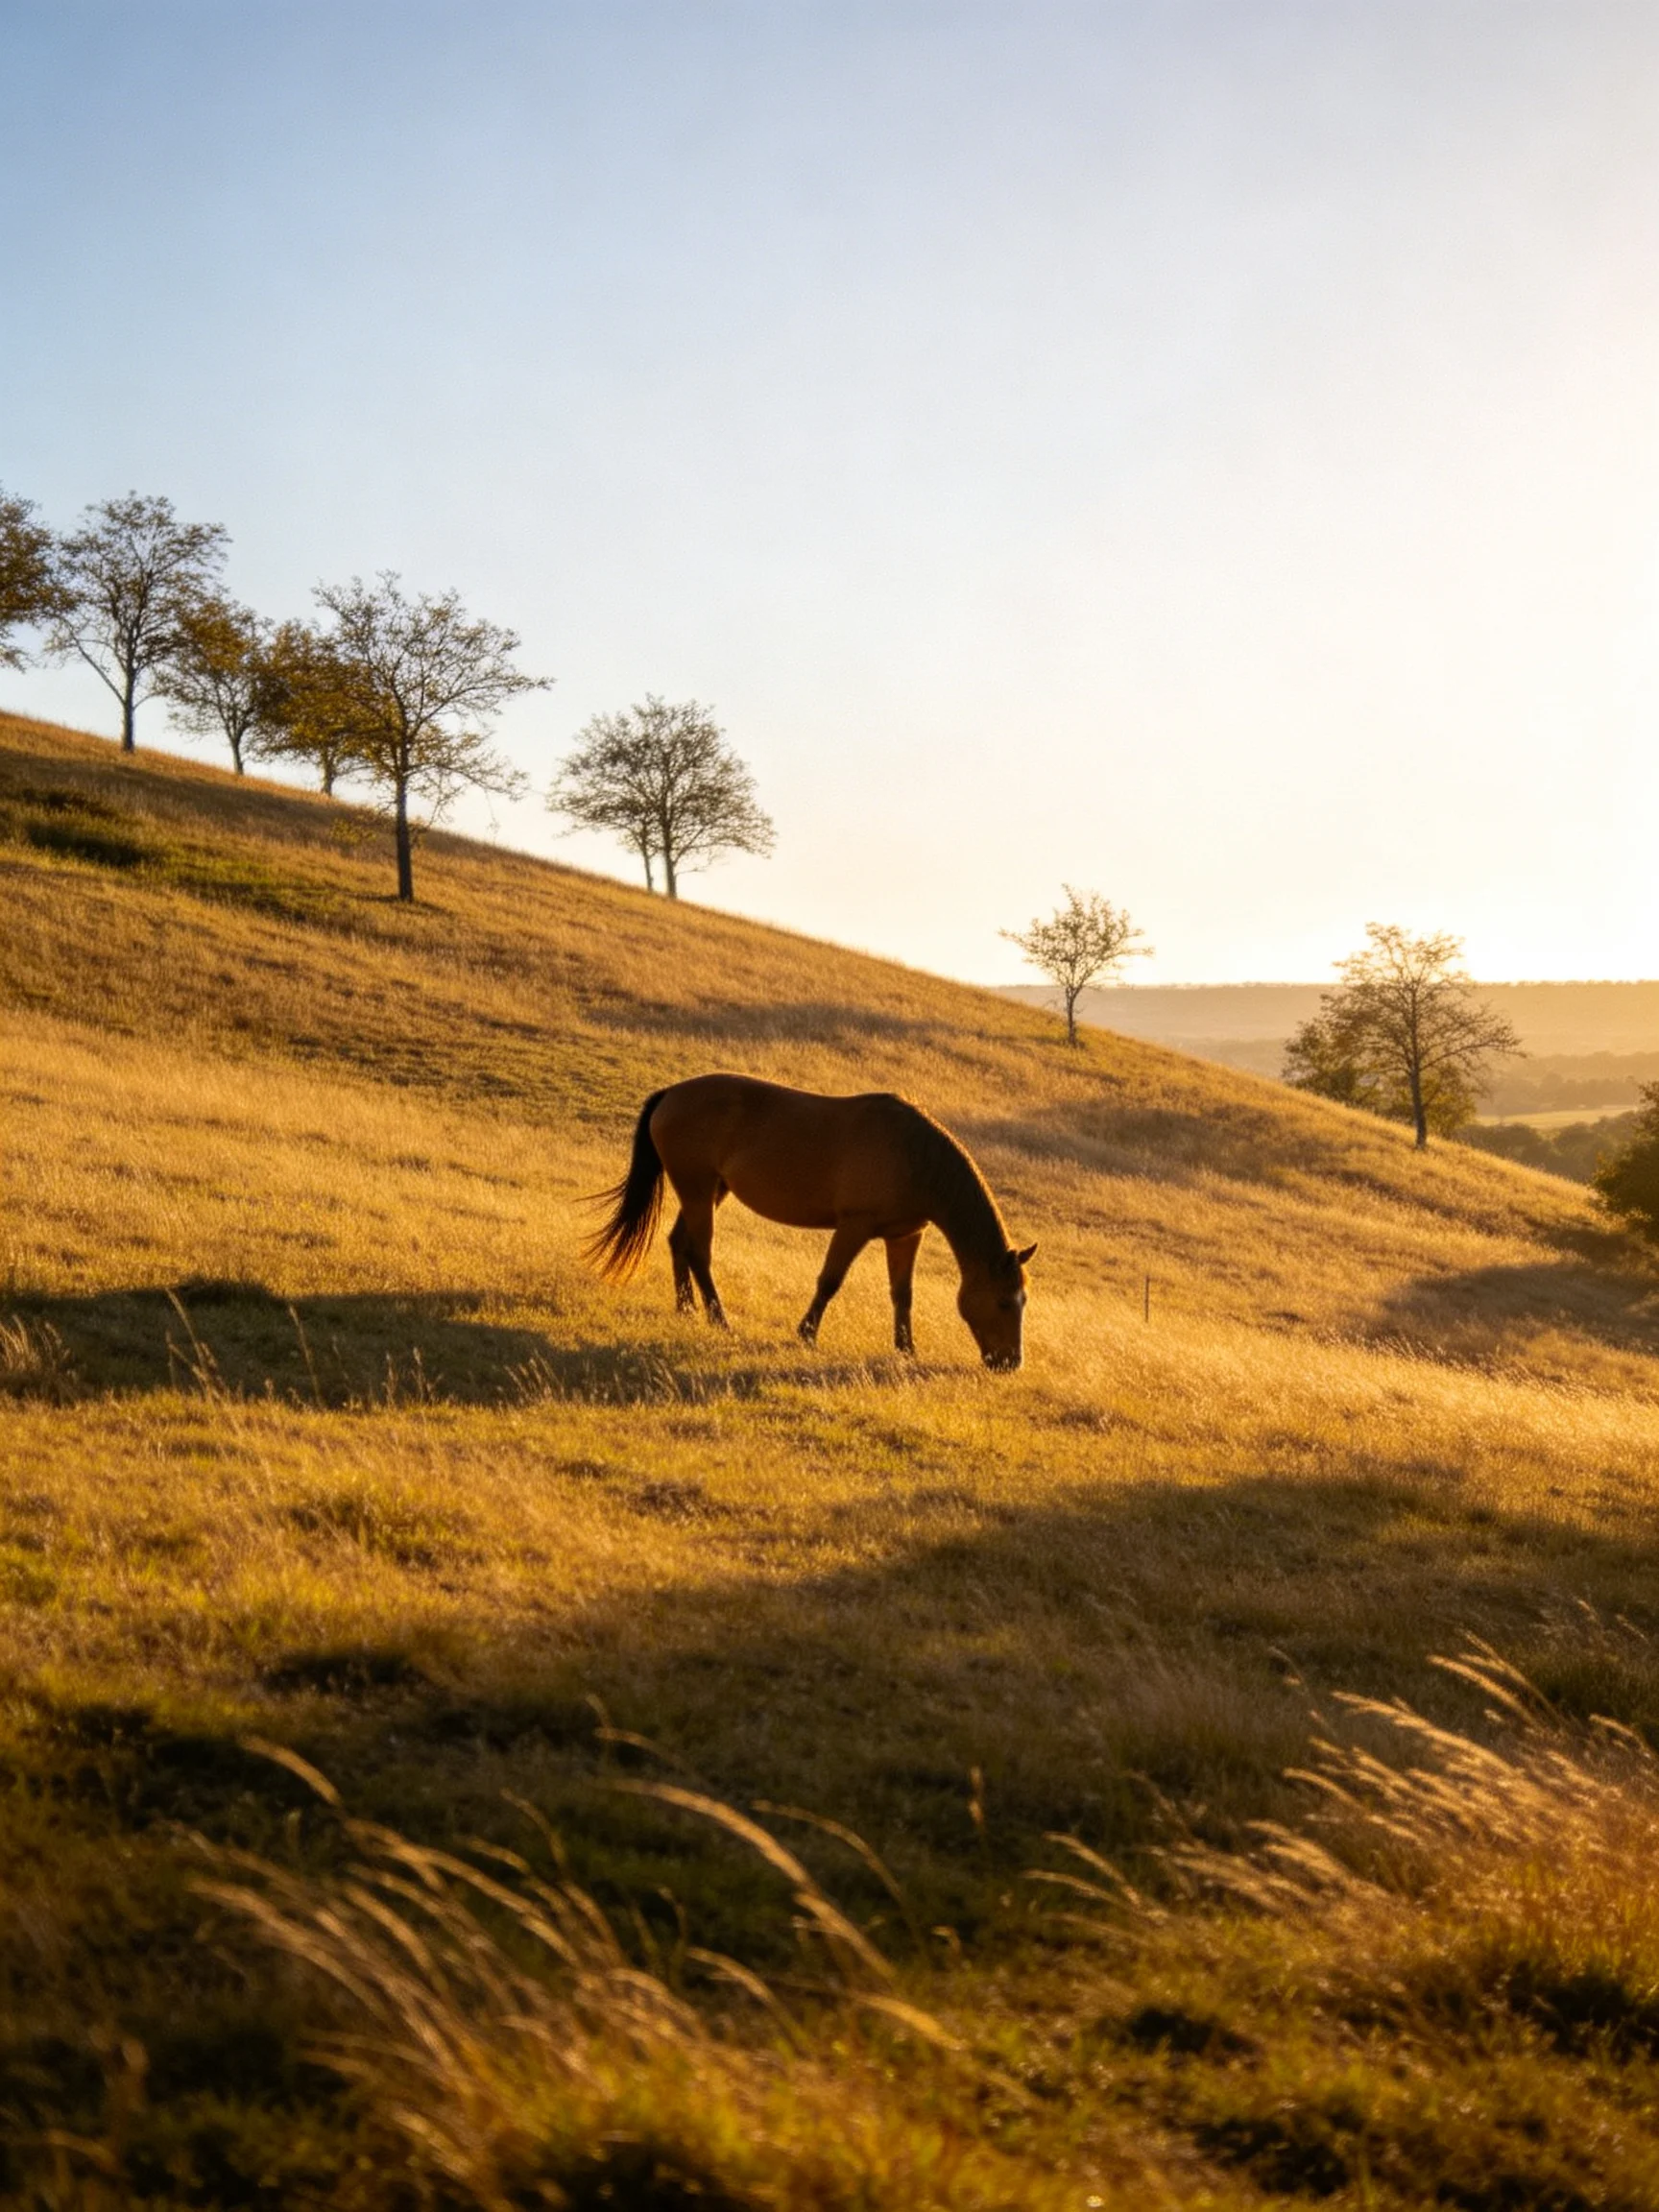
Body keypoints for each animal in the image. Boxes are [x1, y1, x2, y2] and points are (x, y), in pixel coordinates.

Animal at [585, 1074, 1036, 1370]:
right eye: (1003, 1301)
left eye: (1023, 1301)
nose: (1010, 1362)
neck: (914, 1156)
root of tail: (671, 1094)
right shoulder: (854, 1227)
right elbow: (829, 1281)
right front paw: (806, 1334)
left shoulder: (905, 1236)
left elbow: (902, 1294)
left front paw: (906, 1350)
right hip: (697, 1190)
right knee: (699, 1251)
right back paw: (720, 1319)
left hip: (710, 1191)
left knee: (679, 1242)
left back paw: (687, 1310)